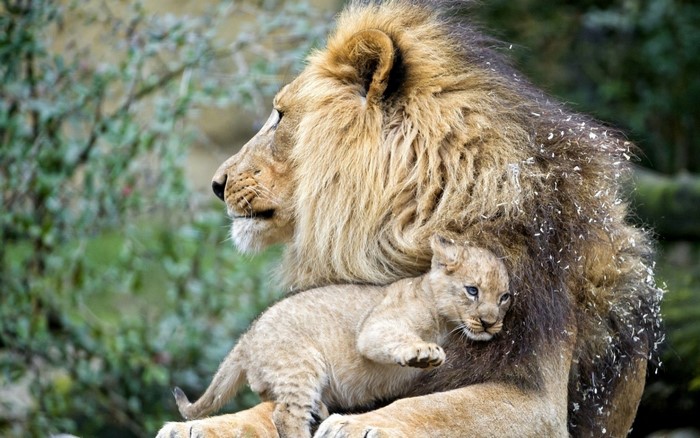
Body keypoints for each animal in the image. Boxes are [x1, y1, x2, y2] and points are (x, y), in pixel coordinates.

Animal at [158, 1, 663, 437]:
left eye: (280, 116)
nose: (217, 183)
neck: (415, 226)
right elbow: (272, 404)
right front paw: (201, 425)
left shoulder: (538, 397)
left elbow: (441, 405)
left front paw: (360, 424)